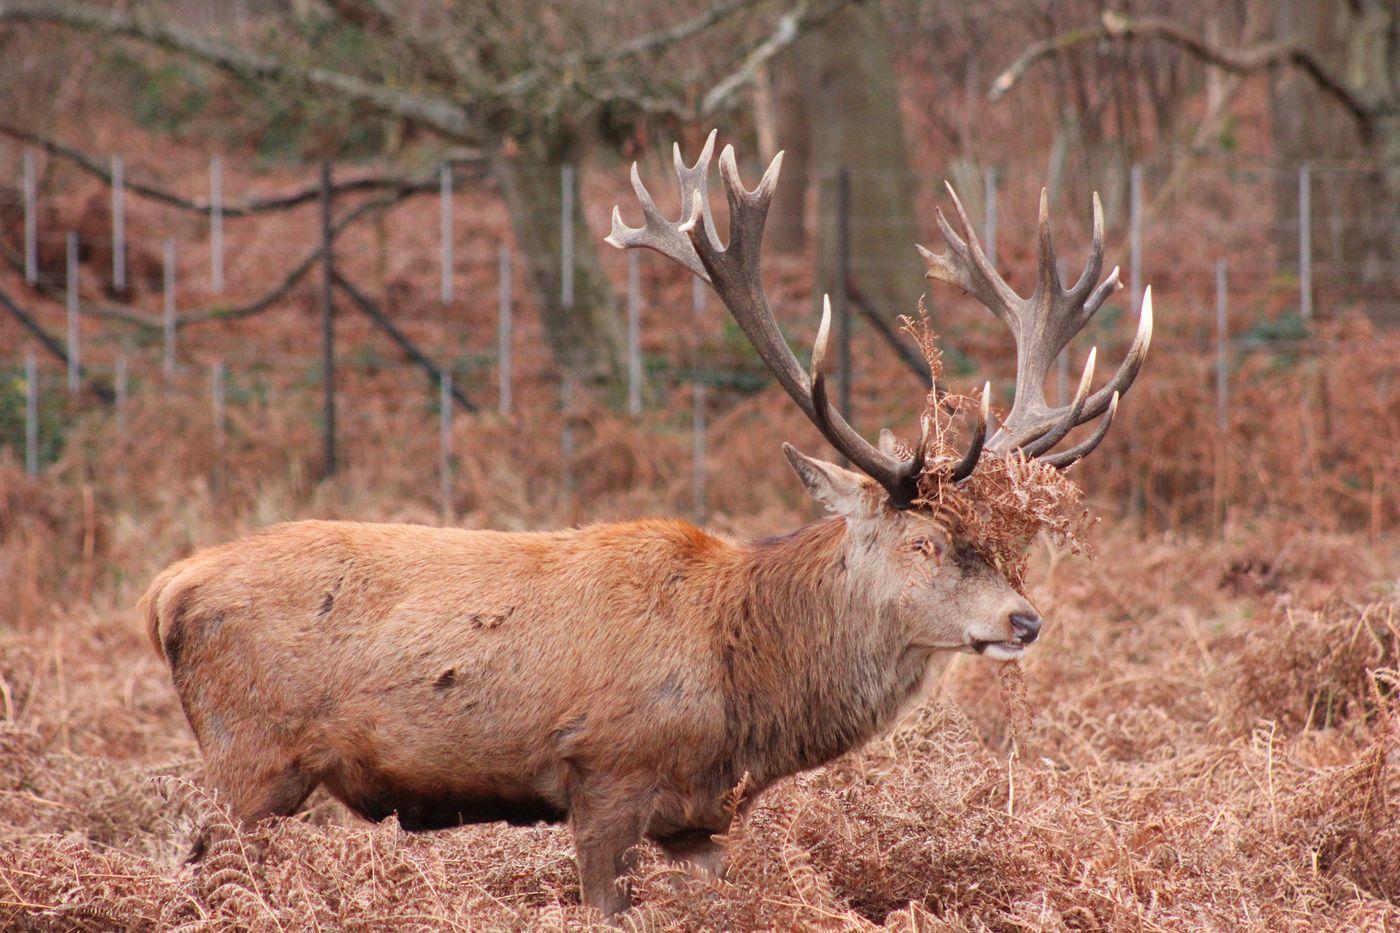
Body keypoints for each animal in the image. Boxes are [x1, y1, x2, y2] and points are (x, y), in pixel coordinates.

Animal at [142, 130, 1151, 921]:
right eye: (924, 542)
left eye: (1009, 543)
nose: (1024, 619)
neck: (743, 691)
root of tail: (167, 591)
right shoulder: (608, 776)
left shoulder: (697, 821)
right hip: (249, 754)